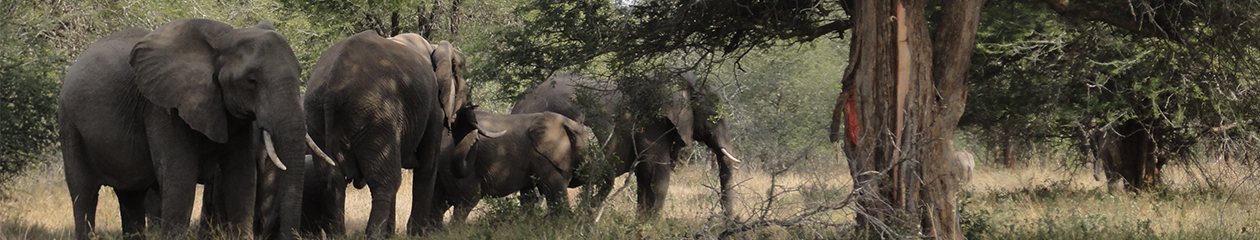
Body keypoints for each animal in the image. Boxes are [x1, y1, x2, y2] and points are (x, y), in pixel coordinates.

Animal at [57, 19, 315, 238]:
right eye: (251, 81)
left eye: (300, 73)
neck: (224, 40)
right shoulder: (163, 108)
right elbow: (181, 178)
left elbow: (241, 178)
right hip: (70, 124)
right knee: (84, 194)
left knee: (130, 196)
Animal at [299, 30, 491, 237]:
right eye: (467, 90)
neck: (435, 48)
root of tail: (332, 87)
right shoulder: (433, 104)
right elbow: (428, 163)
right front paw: (417, 234)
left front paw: (394, 233)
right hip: (376, 114)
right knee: (385, 181)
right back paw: (375, 235)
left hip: (316, 115)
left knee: (332, 181)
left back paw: (341, 236)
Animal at [428, 108, 594, 223]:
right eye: (587, 148)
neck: (565, 122)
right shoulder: (540, 157)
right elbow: (554, 188)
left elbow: (528, 195)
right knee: (466, 201)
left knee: (437, 203)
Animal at [511, 70, 740, 218]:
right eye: (715, 116)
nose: (729, 223)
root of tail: (520, 105)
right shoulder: (650, 124)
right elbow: (656, 173)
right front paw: (650, 228)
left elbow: (645, 176)